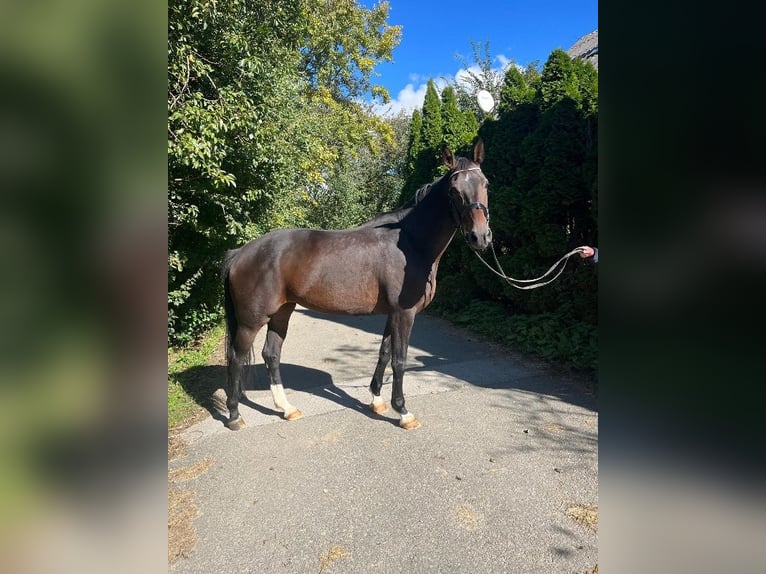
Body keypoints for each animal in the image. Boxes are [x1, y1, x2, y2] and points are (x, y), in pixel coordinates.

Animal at [220, 140, 492, 432]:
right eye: (454, 190)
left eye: (485, 183)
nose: (480, 237)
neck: (410, 244)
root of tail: (239, 253)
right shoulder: (404, 314)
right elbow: (399, 360)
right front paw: (403, 412)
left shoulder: (392, 314)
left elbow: (384, 353)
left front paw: (377, 401)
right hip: (251, 321)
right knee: (237, 357)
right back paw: (234, 415)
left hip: (282, 311)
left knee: (271, 354)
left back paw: (287, 409)